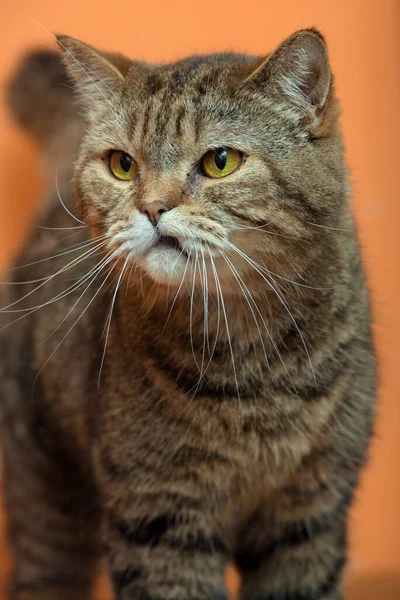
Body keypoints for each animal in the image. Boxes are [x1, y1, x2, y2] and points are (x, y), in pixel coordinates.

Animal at [0, 28, 376, 600]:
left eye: (220, 161)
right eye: (122, 164)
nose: (152, 207)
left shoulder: (309, 513)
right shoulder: (159, 515)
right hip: (45, 495)